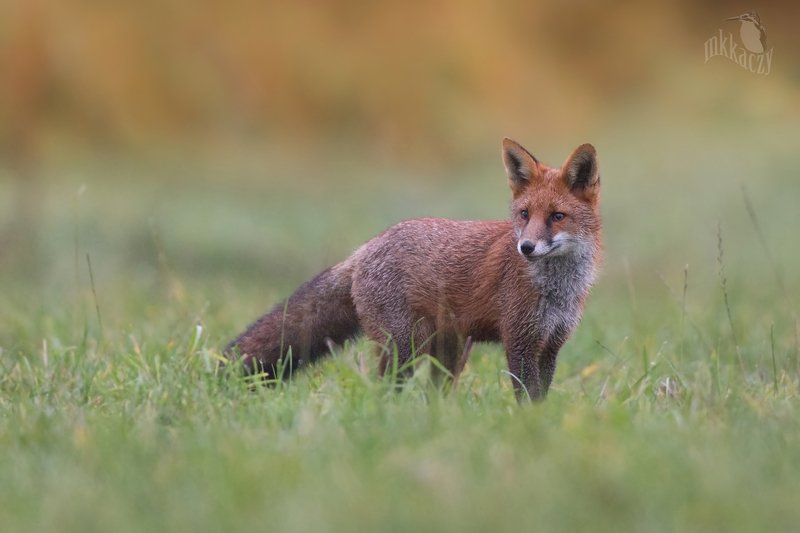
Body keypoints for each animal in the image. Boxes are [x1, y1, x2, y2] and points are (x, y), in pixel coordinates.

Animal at [225, 138, 602, 400]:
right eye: (524, 215)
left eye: (556, 216)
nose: (526, 248)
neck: (557, 290)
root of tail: (365, 248)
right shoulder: (519, 342)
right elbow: (527, 399)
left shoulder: (549, 345)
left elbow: (541, 398)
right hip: (405, 348)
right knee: (382, 390)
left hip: (449, 352)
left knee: (433, 395)